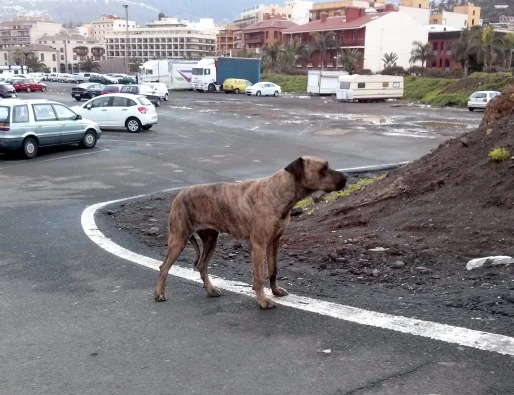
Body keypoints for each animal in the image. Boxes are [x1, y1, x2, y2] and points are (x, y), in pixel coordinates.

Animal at [152, 157, 344, 310]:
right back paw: (159, 293)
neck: (278, 191)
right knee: (164, 267)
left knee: (201, 266)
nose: (346, 178)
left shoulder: (274, 242)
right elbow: (259, 277)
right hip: (178, 239)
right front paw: (263, 301)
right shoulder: (259, 245)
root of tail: (178, 195)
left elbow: (273, 270)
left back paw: (210, 290)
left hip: (210, 240)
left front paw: (275, 291)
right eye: (323, 169)